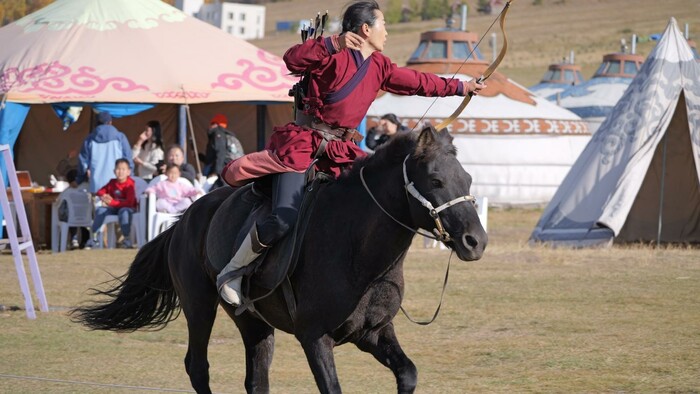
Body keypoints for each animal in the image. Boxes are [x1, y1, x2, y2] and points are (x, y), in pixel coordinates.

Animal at [72, 127, 486, 394]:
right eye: (435, 181)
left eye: (467, 180)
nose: (475, 242)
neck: (357, 250)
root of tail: (185, 219)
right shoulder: (314, 337)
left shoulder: (373, 333)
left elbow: (408, 374)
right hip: (199, 305)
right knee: (198, 367)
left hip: (253, 322)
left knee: (256, 378)